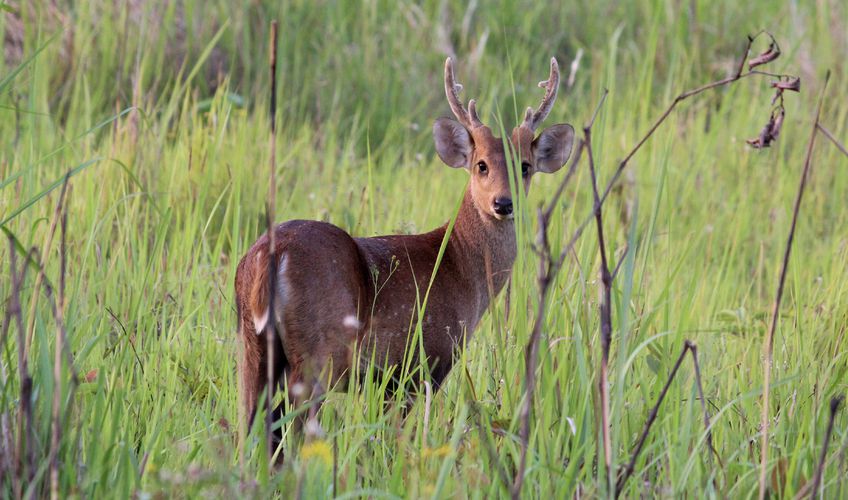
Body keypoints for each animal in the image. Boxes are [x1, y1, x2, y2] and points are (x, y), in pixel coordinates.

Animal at [235, 55, 572, 450]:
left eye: (525, 166)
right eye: (482, 165)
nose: (503, 203)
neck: (459, 266)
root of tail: (273, 254)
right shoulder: (422, 362)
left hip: (252, 345)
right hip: (318, 352)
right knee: (296, 429)